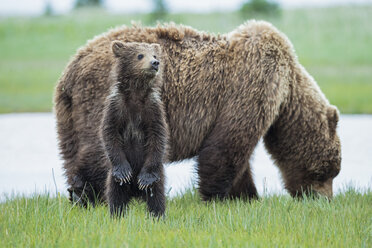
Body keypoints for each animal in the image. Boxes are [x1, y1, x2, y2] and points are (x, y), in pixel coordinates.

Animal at [53, 20, 342, 204]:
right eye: (328, 171)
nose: (324, 200)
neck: (288, 88)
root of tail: (72, 67)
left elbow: (238, 156)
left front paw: (245, 196)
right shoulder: (252, 84)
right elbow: (227, 146)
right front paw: (215, 196)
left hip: (68, 114)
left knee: (71, 150)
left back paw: (76, 191)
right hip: (106, 97)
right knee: (100, 148)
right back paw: (91, 193)